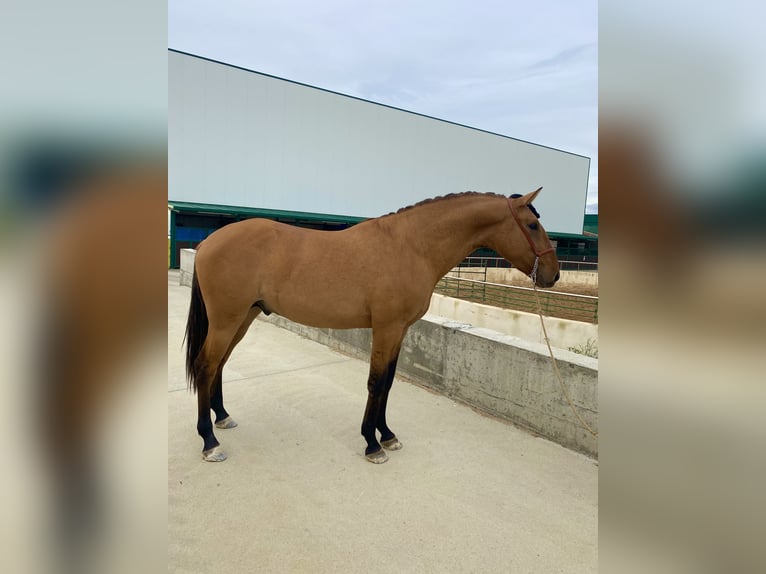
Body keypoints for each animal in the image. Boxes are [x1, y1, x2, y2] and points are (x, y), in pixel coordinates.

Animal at [184, 187, 560, 466]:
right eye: (531, 225)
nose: (554, 275)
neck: (411, 246)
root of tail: (208, 242)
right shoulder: (387, 327)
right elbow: (376, 382)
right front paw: (372, 443)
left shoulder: (400, 331)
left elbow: (388, 382)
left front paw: (387, 435)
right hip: (227, 320)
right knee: (205, 365)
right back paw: (209, 441)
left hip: (242, 318)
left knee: (219, 364)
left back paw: (222, 417)